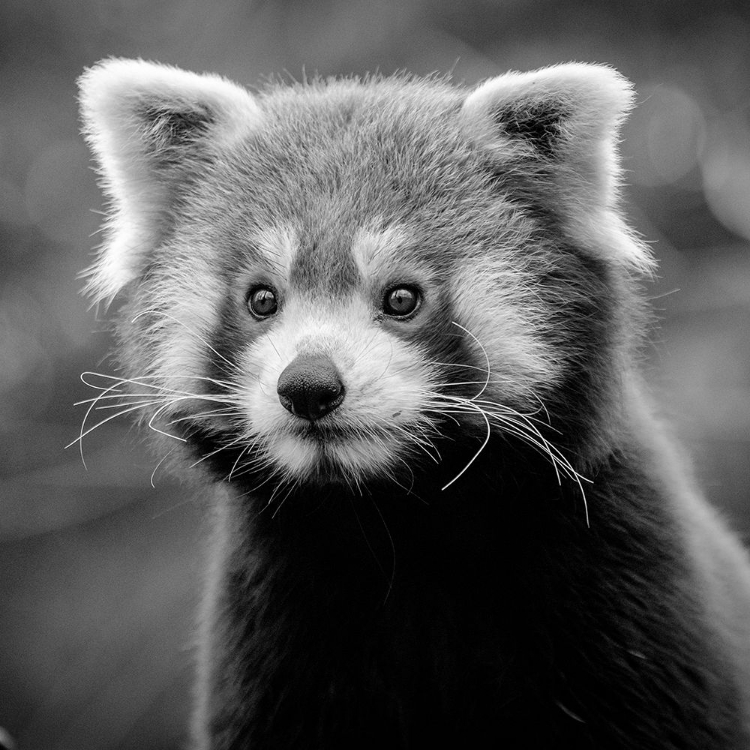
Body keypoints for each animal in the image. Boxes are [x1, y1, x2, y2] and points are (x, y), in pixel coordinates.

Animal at [79, 60, 750, 750]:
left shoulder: (627, 587)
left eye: (402, 298)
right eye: (261, 300)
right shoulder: (272, 628)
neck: (399, 527)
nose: (309, 385)